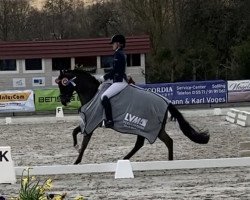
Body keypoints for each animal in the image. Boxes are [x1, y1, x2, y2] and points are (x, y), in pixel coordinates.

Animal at [55, 69, 210, 164]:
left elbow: (84, 144)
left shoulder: (91, 123)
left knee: (156, 143)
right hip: (149, 129)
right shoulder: (88, 122)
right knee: (158, 142)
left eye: (63, 84)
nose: (63, 100)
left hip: (147, 127)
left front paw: (76, 161)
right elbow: (74, 131)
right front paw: (75, 148)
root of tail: (166, 102)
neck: (92, 94)